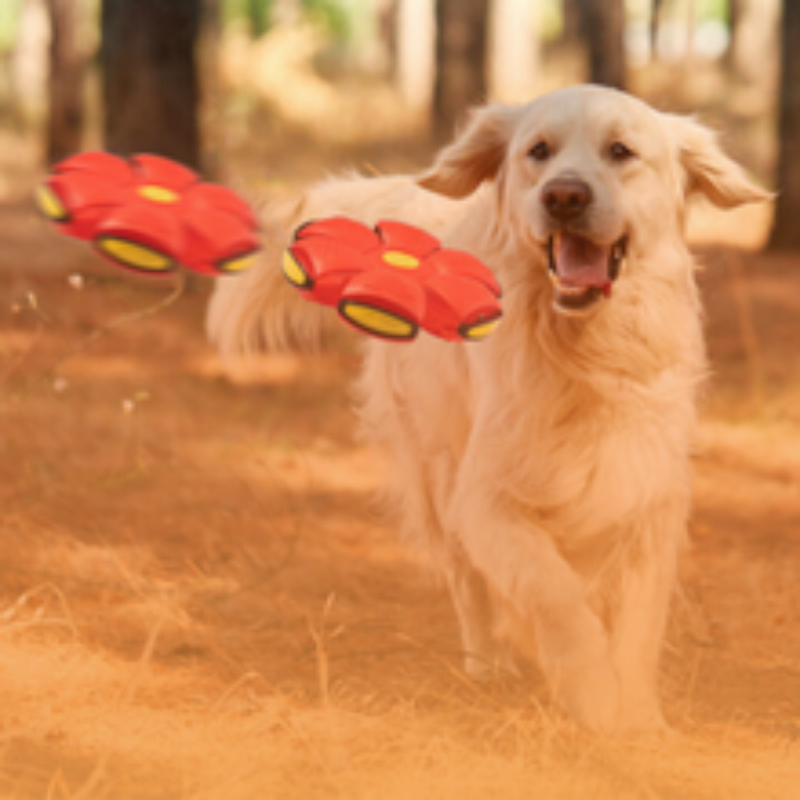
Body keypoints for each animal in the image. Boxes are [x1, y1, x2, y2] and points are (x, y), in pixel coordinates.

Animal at [208, 86, 768, 732]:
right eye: (538, 151)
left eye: (621, 151)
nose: (564, 195)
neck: (584, 351)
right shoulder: (486, 498)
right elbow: (553, 592)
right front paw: (592, 694)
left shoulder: (648, 494)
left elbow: (637, 627)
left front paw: (640, 717)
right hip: (437, 471)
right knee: (468, 582)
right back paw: (489, 665)